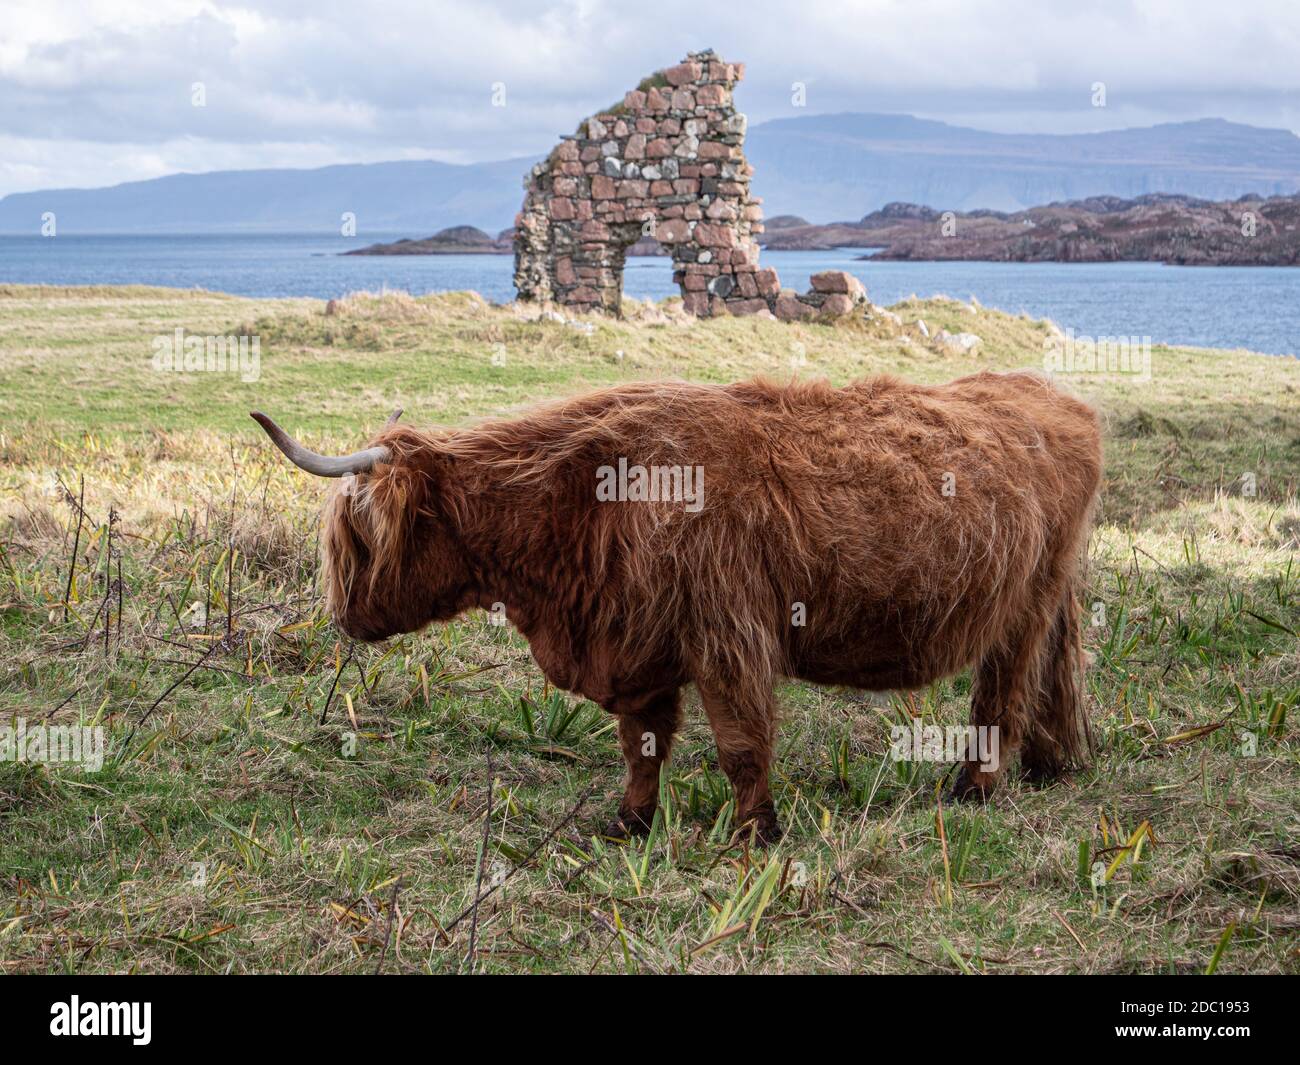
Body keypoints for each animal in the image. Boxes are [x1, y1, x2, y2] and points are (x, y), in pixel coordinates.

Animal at [252, 370, 1102, 844]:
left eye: (353, 537)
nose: (343, 616)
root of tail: (1052, 393)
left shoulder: (727, 637)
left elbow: (741, 746)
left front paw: (759, 833)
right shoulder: (637, 644)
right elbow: (642, 748)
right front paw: (630, 823)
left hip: (1022, 605)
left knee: (1004, 691)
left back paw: (974, 788)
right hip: (1050, 593)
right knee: (1054, 677)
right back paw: (1051, 766)